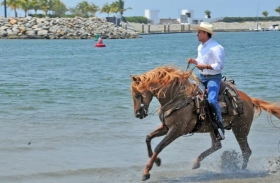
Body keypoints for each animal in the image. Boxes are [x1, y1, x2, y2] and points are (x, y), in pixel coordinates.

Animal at [130, 65, 280, 180]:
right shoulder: (166, 127)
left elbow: (159, 147)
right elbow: (148, 137)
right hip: (214, 128)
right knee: (217, 145)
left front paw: (146, 172)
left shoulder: (176, 131)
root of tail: (249, 99)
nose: (138, 114)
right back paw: (196, 162)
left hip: (240, 130)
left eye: (137, 95)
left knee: (246, 151)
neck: (178, 99)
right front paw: (156, 160)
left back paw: (240, 171)